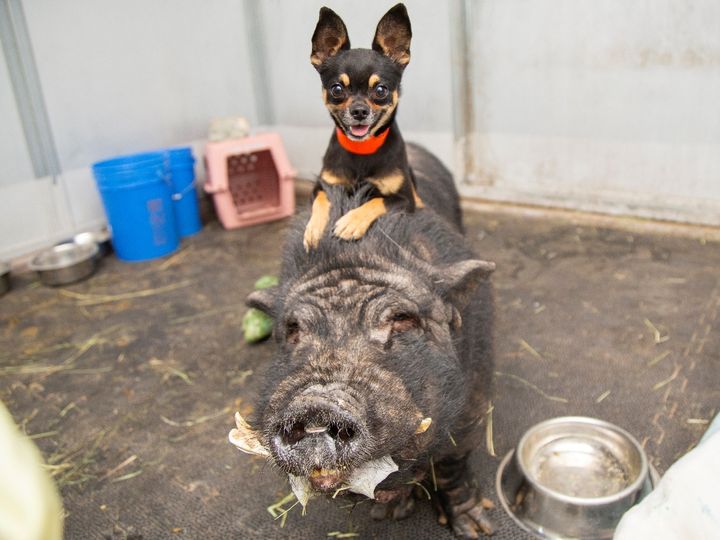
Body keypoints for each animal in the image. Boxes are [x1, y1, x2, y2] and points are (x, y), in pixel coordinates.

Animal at [242, 144, 496, 540]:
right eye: (294, 330)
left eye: (401, 319)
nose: (317, 404)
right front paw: (388, 515)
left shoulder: (476, 400)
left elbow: (453, 462)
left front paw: (475, 528)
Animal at [302, 2, 422, 251]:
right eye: (337, 89)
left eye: (381, 90)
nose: (359, 111)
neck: (362, 149)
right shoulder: (322, 185)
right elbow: (322, 199)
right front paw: (314, 229)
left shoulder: (404, 200)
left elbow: (377, 200)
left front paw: (351, 222)